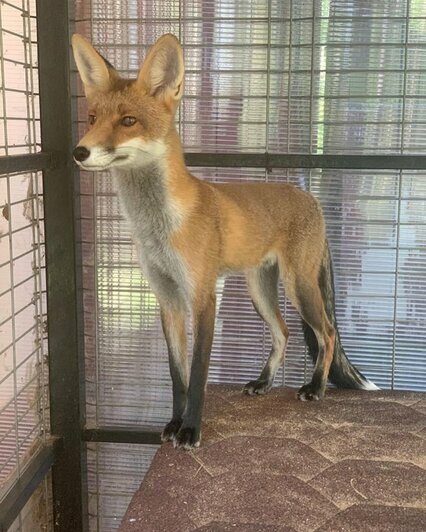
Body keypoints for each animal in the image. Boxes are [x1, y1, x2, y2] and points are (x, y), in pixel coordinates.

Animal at [71, 33, 378, 448]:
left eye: (128, 121)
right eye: (91, 119)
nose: (79, 151)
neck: (158, 227)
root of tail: (309, 197)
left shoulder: (203, 297)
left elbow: (199, 374)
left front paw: (191, 429)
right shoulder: (168, 299)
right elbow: (177, 377)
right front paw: (174, 423)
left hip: (298, 287)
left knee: (327, 334)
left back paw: (315, 388)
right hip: (259, 290)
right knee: (283, 333)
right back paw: (263, 383)